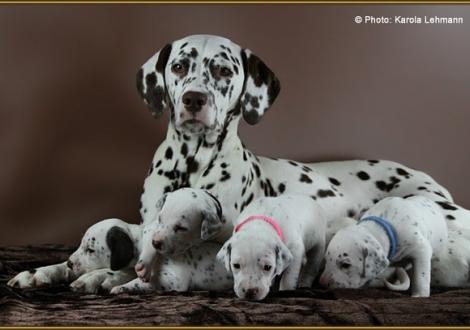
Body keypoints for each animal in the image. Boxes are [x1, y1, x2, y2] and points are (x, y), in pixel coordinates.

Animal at [320, 195, 448, 298]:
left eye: (345, 265)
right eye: (326, 260)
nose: (322, 283)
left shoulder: (421, 249)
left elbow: (421, 275)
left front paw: (420, 294)